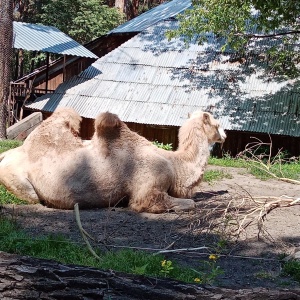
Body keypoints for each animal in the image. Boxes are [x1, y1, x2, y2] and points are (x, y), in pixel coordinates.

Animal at [0, 108, 226, 213]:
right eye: (218, 124)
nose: (224, 136)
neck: (175, 164)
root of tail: (7, 153)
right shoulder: (149, 188)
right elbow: (187, 203)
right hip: (17, 180)